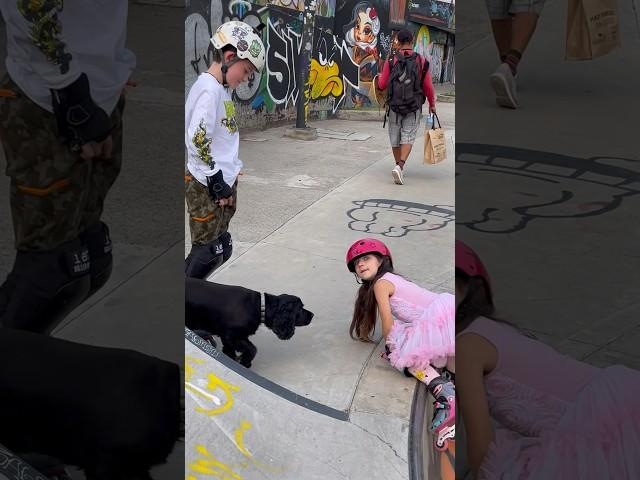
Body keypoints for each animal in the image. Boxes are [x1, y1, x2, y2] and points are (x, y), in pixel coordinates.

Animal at [184, 278, 314, 368]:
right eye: (300, 308)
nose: (312, 315)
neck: (258, 306)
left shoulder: (237, 337)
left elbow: (236, 350)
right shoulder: (231, 335)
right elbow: (252, 350)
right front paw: (244, 362)